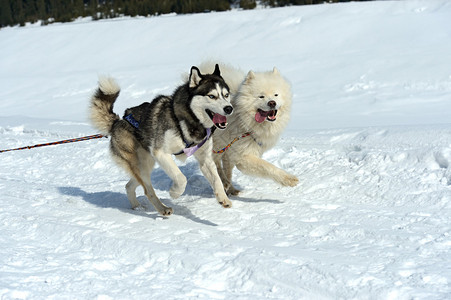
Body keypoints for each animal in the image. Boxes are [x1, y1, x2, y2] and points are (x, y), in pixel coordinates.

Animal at [90, 65, 235, 216]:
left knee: (129, 186)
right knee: (148, 191)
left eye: (226, 95)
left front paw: (223, 198)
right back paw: (162, 208)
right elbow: (181, 178)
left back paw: (137, 207)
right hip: (142, 166)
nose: (229, 108)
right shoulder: (161, 153)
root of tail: (118, 121)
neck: (188, 120)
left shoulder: (205, 159)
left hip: (145, 165)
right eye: (212, 96)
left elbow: (217, 180)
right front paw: (174, 193)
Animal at [199, 62, 298, 196]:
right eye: (261, 96)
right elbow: (267, 166)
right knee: (216, 164)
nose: (272, 103)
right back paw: (224, 183)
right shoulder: (243, 157)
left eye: (276, 95)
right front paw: (289, 179)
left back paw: (230, 188)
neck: (244, 121)